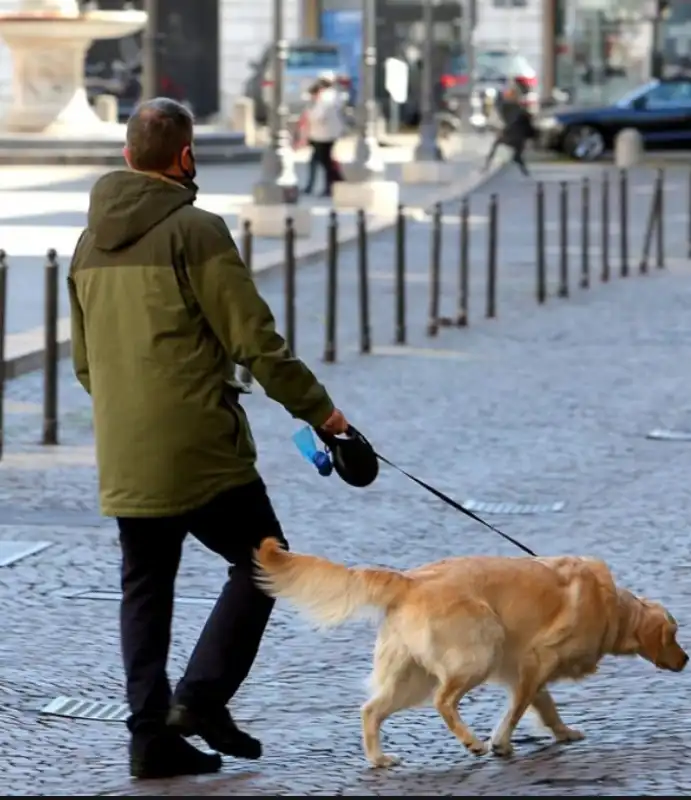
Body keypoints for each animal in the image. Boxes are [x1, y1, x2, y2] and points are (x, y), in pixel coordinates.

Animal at [254, 536, 688, 768]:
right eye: (674, 633)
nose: (686, 660)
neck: (613, 608)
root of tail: (410, 580)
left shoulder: (526, 671)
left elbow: (545, 707)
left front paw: (563, 733)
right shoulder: (536, 658)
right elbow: (517, 710)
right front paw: (501, 742)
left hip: (410, 675)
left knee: (371, 710)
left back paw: (379, 759)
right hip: (480, 649)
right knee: (443, 700)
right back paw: (472, 742)